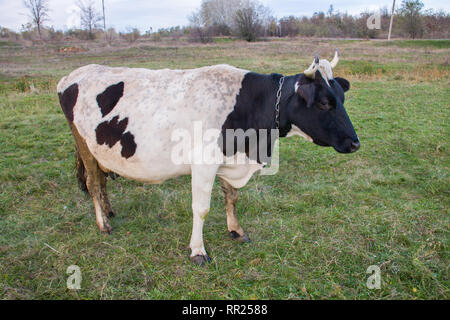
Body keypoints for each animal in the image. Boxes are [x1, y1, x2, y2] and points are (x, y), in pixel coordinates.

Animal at [58, 50, 360, 264]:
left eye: (342, 98)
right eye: (324, 102)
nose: (355, 143)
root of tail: (72, 75)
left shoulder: (230, 159)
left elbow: (232, 197)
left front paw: (236, 230)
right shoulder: (204, 162)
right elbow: (201, 209)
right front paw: (197, 251)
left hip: (99, 149)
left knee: (102, 181)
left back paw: (109, 210)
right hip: (83, 144)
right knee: (94, 184)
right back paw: (103, 224)